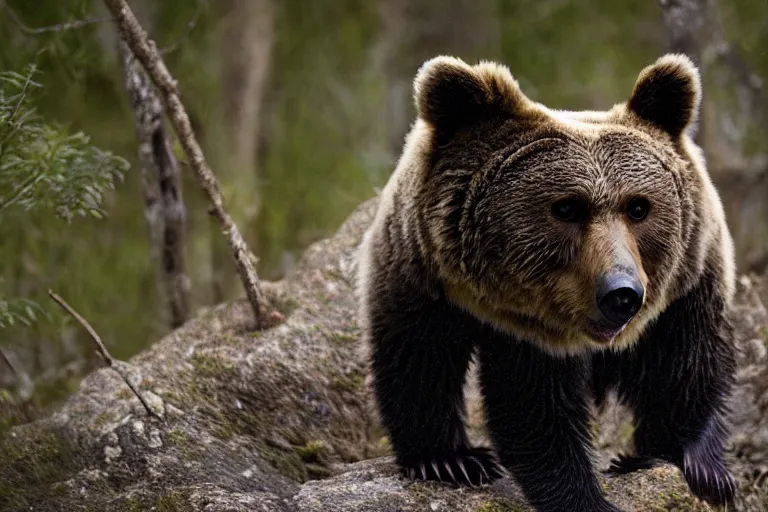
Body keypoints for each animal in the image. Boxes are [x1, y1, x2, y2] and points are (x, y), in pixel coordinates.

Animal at [358, 53, 736, 512]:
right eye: (567, 208)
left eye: (638, 207)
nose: (621, 294)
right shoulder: (511, 322)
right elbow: (535, 412)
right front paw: (585, 496)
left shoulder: (688, 284)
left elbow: (684, 365)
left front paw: (700, 469)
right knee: (416, 356)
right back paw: (448, 459)